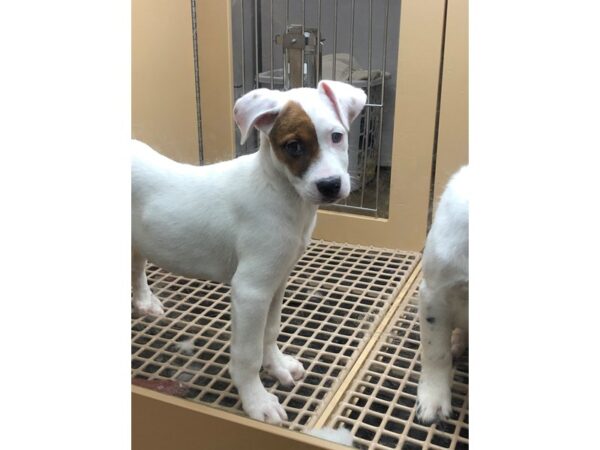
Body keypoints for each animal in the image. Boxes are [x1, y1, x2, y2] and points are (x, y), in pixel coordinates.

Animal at [131, 81, 366, 426]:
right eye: (293, 146)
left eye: (337, 136)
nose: (330, 185)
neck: (282, 193)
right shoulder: (251, 290)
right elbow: (247, 353)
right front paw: (256, 400)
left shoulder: (276, 281)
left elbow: (270, 331)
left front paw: (277, 365)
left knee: (137, 267)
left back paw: (144, 301)